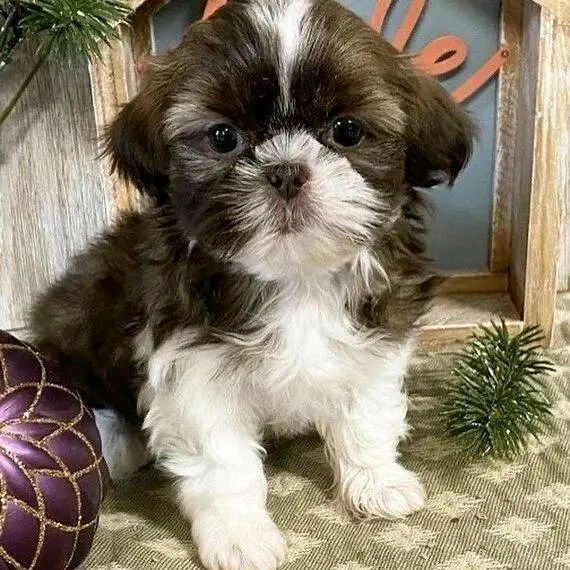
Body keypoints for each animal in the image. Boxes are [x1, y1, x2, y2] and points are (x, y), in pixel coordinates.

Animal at [33, 2, 472, 564]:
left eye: (347, 131)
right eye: (223, 137)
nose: (286, 170)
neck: (295, 277)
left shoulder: (376, 335)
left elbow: (366, 412)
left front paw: (376, 481)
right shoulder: (193, 366)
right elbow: (223, 462)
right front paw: (239, 534)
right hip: (84, 310)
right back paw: (117, 442)